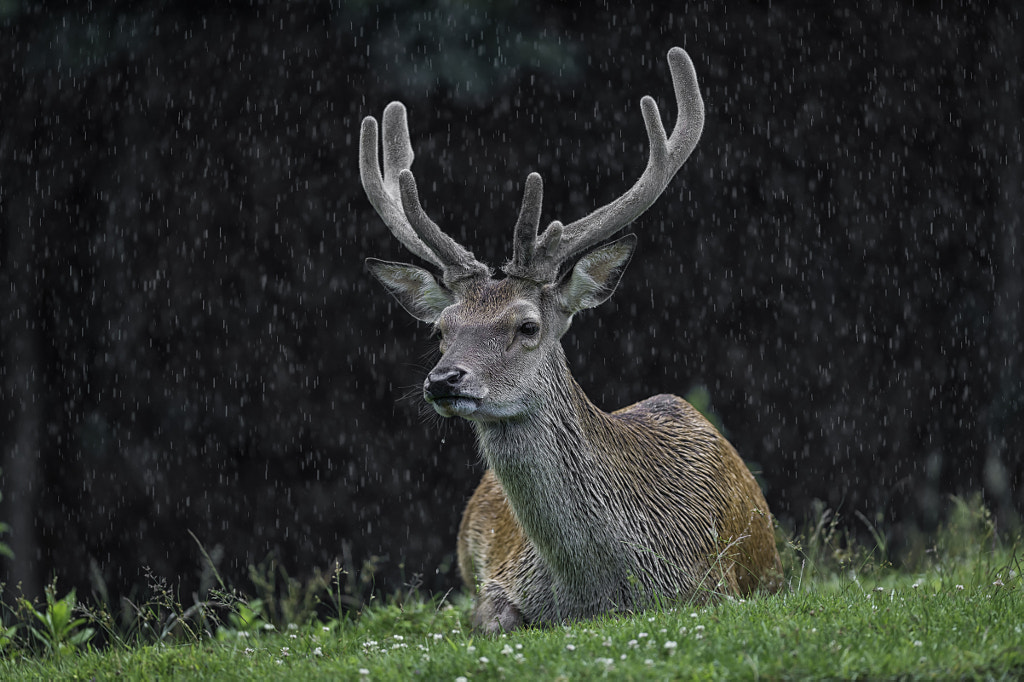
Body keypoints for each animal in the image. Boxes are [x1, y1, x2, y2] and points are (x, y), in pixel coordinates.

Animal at [360, 46, 782, 630]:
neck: (600, 591)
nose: (444, 380)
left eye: (527, 325)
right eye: (441, 330)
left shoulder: (716, 585)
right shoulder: (501, 580)